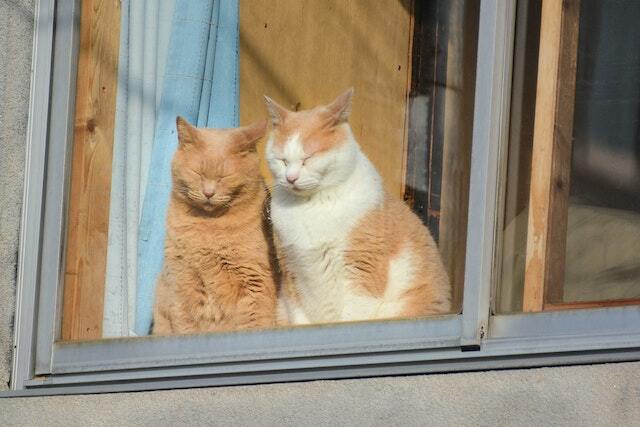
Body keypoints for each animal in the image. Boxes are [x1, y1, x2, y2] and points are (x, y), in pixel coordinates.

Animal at [155, 116, 278, 334]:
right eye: (197, 173)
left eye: (224, 177)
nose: (208, 192)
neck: (209, 227)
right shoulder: (181, 278)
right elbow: (186, 323)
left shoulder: (254, 279)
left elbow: (255, 321)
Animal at [264, 89, 450, 324]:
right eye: (282, 161)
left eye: (308, 158)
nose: (290, 178)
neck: (311, 205)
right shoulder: (291, 272)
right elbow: (299, 316)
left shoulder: (361, 269)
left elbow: (351, 316)